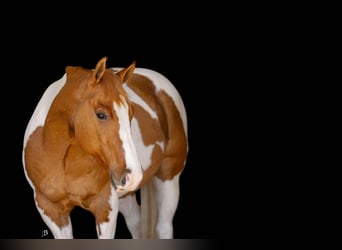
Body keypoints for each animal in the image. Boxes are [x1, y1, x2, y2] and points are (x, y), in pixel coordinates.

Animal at [22, 56, 188, 238]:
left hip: (168, 177)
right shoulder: (50, 210)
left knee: (164, 227)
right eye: (101, 115)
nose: (134, 176)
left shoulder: (105, 207)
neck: (66, 161)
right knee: (136, 224)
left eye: (131, 112)